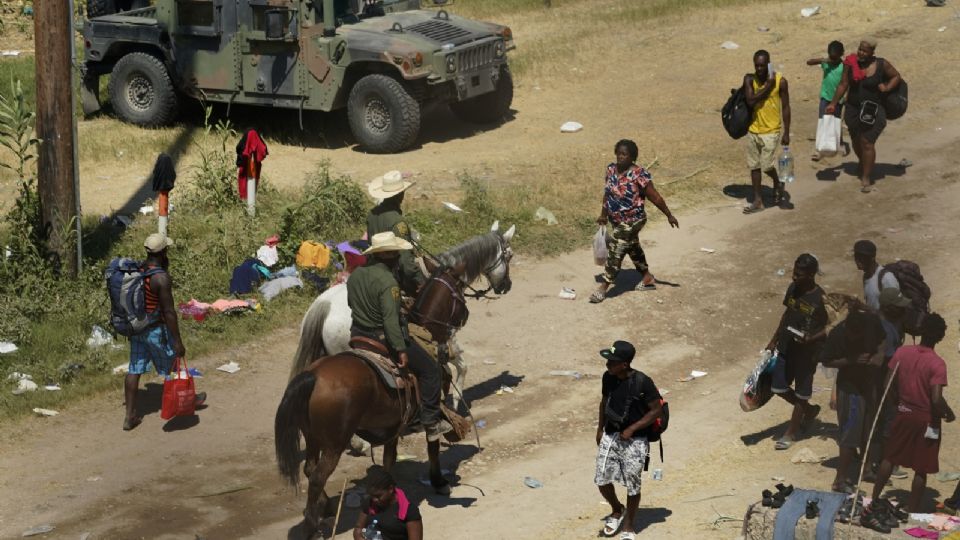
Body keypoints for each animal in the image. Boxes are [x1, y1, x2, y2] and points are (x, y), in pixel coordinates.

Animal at [276, 223, 512, 532]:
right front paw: (457, 410)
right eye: (508, 254)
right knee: (318, 472)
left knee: (310, 468)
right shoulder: (446, 349)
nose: (505, 286)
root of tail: (322, 305)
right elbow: (460, 372)